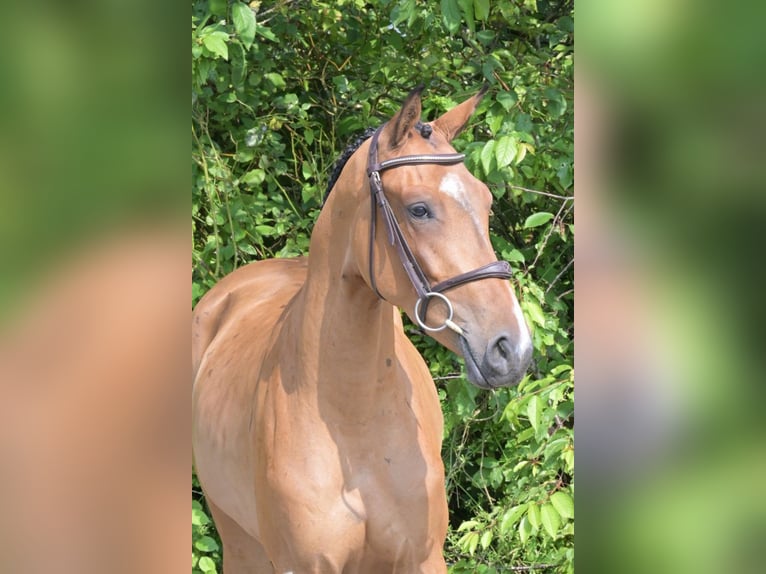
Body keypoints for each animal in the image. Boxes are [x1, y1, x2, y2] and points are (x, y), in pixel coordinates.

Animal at [192, 88, 536, 572]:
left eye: (485, 201)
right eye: (418, 209)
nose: (512, 348)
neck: (355, 421)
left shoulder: (423, 558)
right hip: (240, 543)